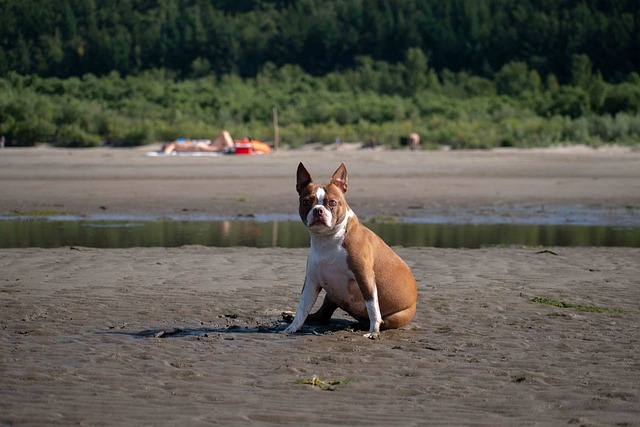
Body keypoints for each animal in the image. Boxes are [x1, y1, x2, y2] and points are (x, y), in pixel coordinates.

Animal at [282, 162, 418, 340]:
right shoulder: (312, 282)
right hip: (331, 295)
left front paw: (373, 331)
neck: (328, 240)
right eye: (306, 202)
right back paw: (291, 316)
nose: (318, 210)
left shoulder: (365, 277)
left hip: (397, 315)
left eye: (332, 202)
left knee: (380, 319)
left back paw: (360, 325)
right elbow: (302, 308)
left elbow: (373, 307)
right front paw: (292, 327)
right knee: (322, 315)